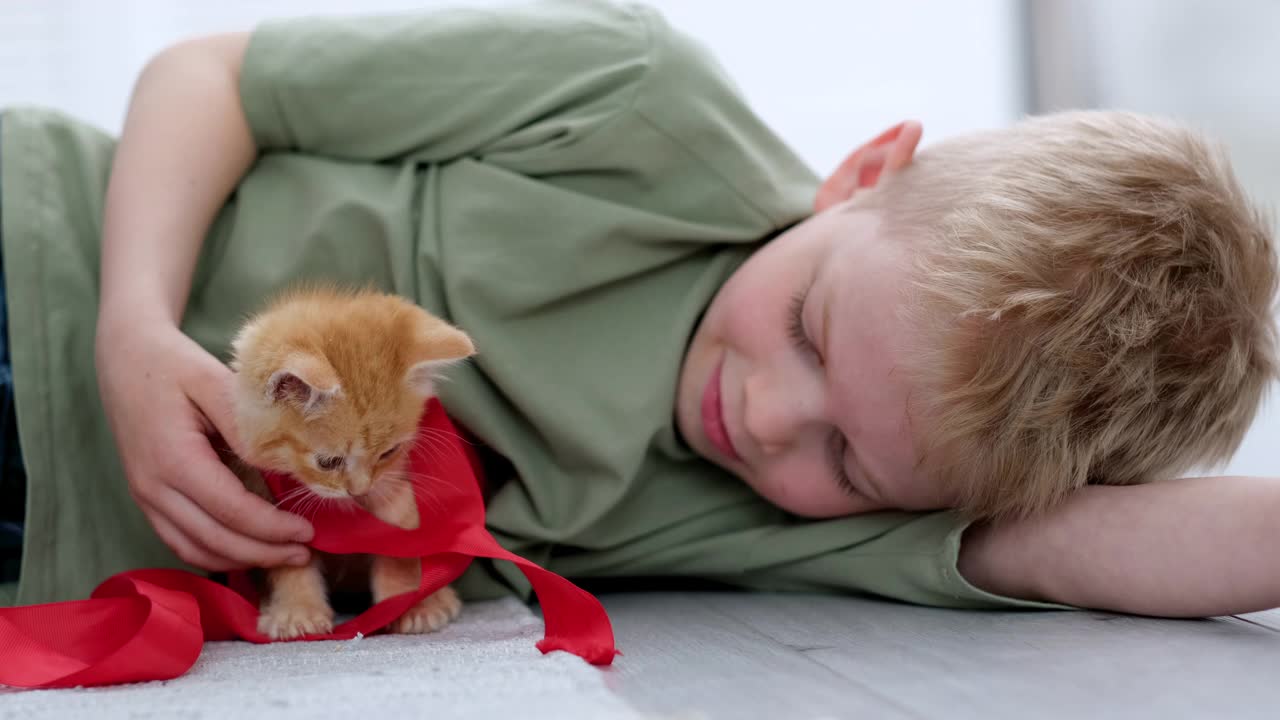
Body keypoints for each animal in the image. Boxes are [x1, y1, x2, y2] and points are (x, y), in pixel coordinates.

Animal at [229, 283, 476, 635]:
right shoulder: (269, 505)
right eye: (328, 462)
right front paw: (297, 611)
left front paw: (411, 602)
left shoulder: (395, 486)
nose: (359, 490)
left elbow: (399, 537)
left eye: (388, 453)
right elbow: (290, 562)